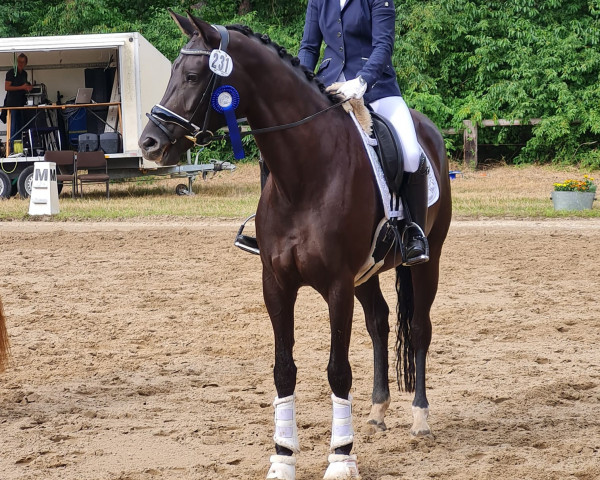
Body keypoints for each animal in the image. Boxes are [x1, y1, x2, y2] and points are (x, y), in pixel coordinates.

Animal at [139, 12, 450, 480]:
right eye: (174, 72)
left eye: (193, 76)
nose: (150, 143)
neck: (306, 174)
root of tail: (428, 128)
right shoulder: (277, 284)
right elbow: (283, 369)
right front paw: (282, 457)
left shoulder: (337, 286)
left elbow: (338, 370)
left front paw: (341, 458)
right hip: (366, 273)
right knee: (378, 322)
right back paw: (377, 412)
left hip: (426, 261)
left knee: (418, 329)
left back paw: (420, 418)